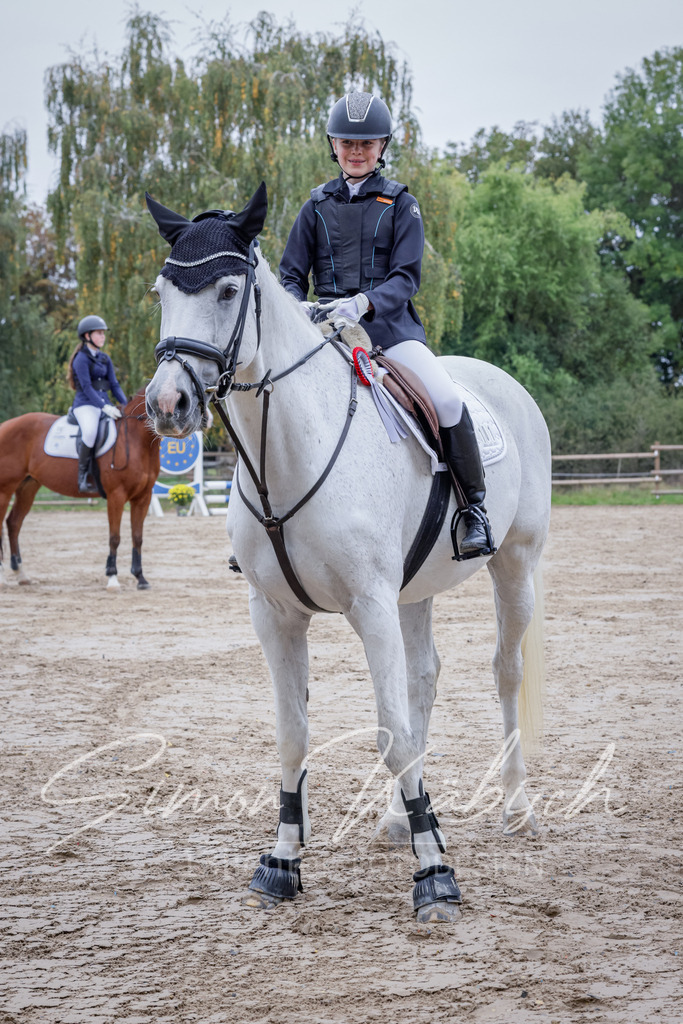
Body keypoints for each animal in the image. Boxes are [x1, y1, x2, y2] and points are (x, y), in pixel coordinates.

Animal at [0, 388, 160, 589]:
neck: (135, 438)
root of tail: (5, 426)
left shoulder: (143, 497)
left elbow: (137, 537)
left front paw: (140, 578)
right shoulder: (116, 496)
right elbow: (114, 537)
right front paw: (112, 578)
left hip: (28, 487)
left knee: (14, 523)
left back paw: (21, 575)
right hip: (5, 489)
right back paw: (3, 578)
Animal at [144, 183, 552, 923]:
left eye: (226, 290)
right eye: (163, 290)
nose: (168, 404)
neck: (288, 453)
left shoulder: (369, 605)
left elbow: (390, 730)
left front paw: (435, 876)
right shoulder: (274, 614)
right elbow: (294, 732)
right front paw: (281, 862)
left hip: (514, 566)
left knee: (503, 673)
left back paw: (515, 807)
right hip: (414, 592)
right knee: (424, 680)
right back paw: (396, 818)